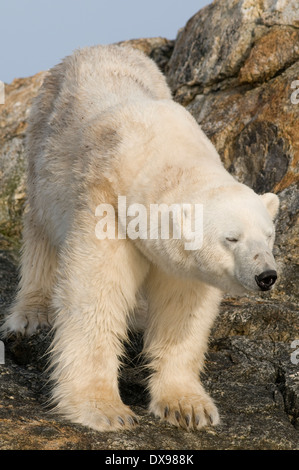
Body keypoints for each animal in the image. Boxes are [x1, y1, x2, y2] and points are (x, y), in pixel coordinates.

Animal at [1, 46, 280, 432]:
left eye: (268, 235)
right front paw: (104, 409)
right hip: (45, 148)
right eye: (232, 238)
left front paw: (188, 406)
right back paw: (31, 314)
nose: (267, 276)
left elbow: (181, 309)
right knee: (40, 232)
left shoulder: (181, 264)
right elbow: (96, 293)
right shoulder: (107, 205)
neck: (163, 154)